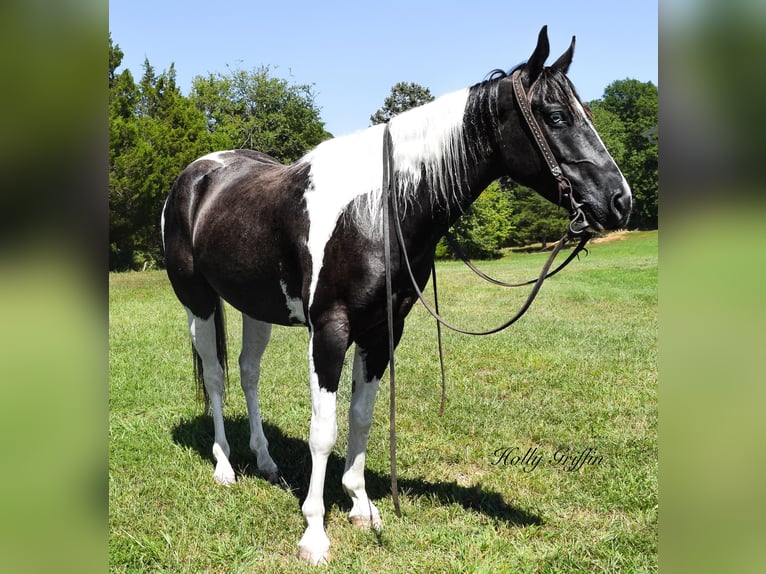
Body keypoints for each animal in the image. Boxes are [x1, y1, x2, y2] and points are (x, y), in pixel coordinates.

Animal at [162, 28, 636, 568]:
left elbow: (361, 417)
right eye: (556, 116)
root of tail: (196, 176)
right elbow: (323, 430)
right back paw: (224, 467)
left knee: (247, 372)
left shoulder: (383, 331)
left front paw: (361, 505)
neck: (377, 210)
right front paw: (314, 533)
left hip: (255, 307)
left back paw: (264, 461)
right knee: (216, 377)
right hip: (198, 302)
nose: (620, 200)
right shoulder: (330, 331)